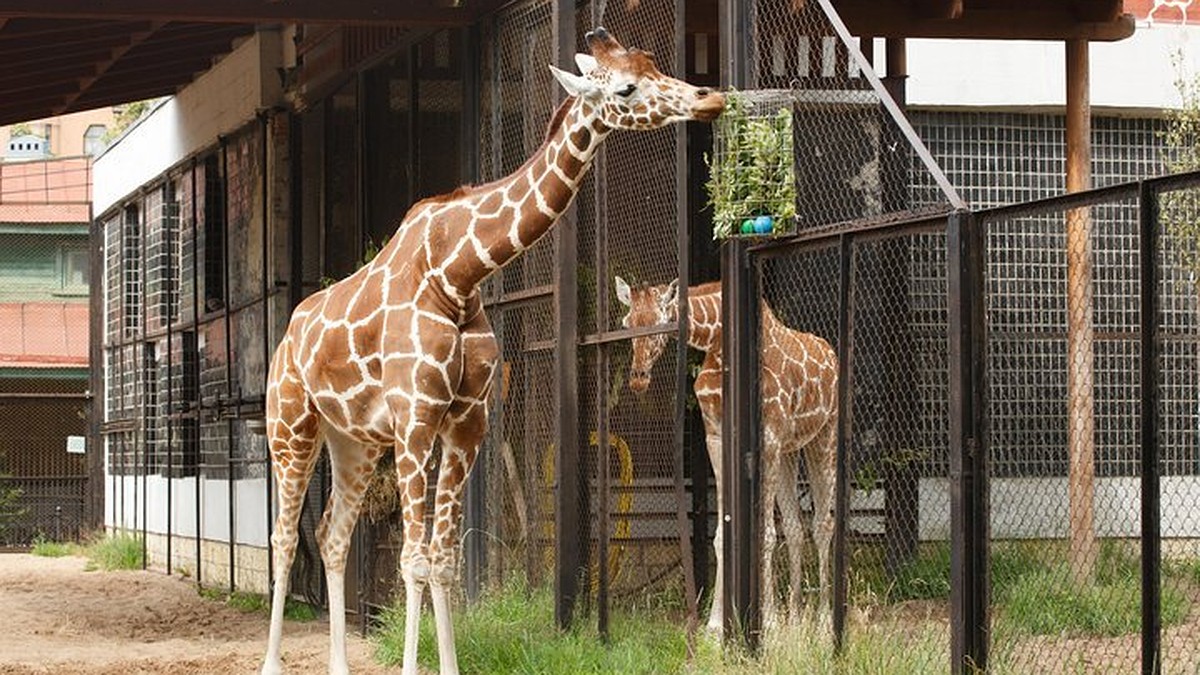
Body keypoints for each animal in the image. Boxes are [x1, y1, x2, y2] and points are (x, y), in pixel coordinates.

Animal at [260, 26, 720, 672]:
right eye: (626, 88)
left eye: (655, 65)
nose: (710, 98)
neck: (457, 273)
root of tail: (286, 337)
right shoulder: (416, 421)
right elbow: (414, 559)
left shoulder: (466, 423)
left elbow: (445, 560)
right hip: (291, 425)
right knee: (282, 538)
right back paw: (271, 662)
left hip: (353, 442)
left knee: (331, 534)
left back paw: (339, 665)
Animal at [614, 275, 840, 629]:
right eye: (626, 324)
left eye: (660, 322)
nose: (638, 379)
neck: (719, 344)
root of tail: (832, 353)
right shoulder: (716, 436)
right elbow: (722, 534)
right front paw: (716, 624)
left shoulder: (768, 437)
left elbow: (764, 533)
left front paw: (768, 621)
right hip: (790, 451)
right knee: (795, 526)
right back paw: (795, 615)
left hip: (825, 434)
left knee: (822, 524)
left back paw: (822, 620)